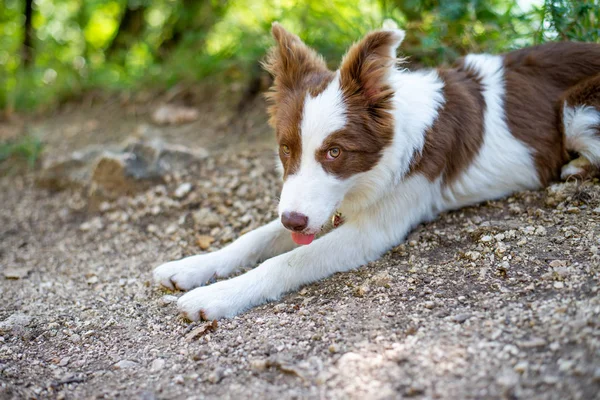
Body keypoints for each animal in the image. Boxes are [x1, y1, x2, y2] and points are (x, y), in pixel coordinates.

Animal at [154, 22, 600, 322]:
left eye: (335, 152)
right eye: (286, 149)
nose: (293, 220)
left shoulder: (373, 230)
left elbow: (289, 260)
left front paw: (218, 295)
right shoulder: (312, 207)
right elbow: (254, 238)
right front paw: (192, 266)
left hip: (577, 106)